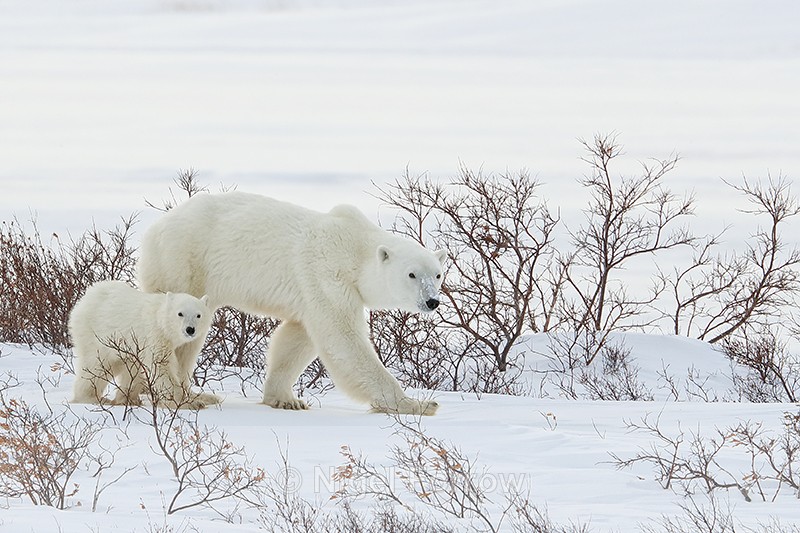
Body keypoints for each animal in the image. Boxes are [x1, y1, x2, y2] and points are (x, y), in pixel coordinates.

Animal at [69, 280, 213, 409]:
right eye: (180, 313)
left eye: (198, 315)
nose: (190, 329)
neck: (161, 322)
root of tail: (84, 299)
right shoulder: (155, 334)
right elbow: (161, 365)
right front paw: (188, 403)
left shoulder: (177, 345)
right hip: (96, 335)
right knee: (97, 366)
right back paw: (91, 397)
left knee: (130, 367)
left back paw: (128, 399)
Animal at [137, 191, 446, 415]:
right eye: (411, 274)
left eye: (438, 274)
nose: (432, 301)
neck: (354, 247)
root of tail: (156, 227)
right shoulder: (327, 274)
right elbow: (343, 339)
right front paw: (417, 404)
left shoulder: (312, 292)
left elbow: (297, 338)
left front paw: (285, 399)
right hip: (184, 263)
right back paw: (185, 396)